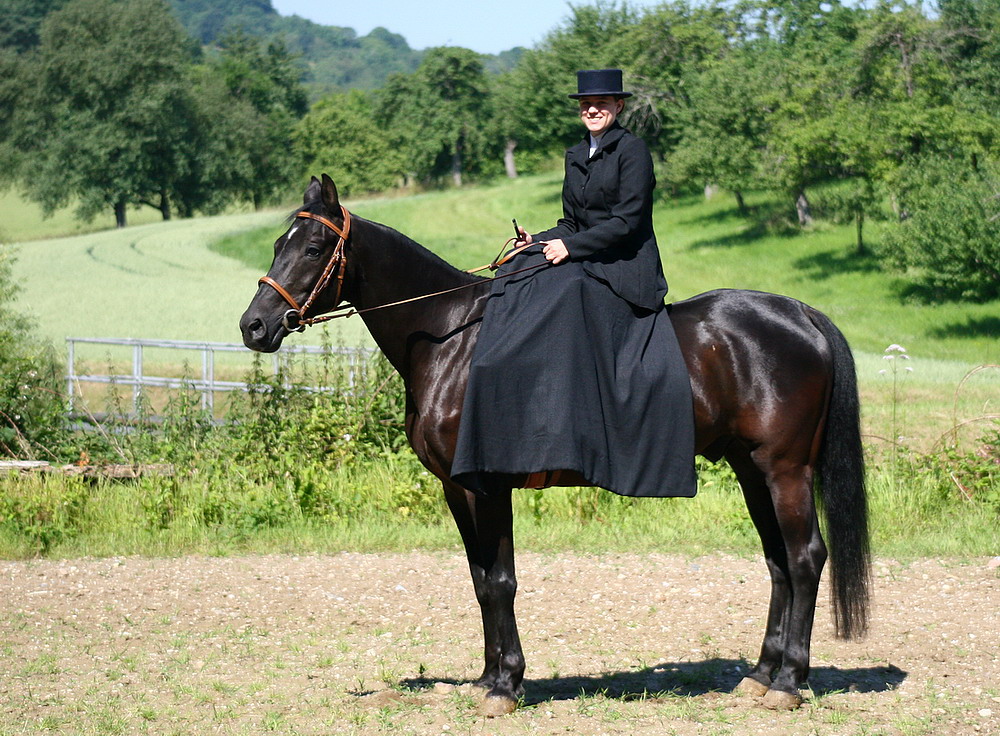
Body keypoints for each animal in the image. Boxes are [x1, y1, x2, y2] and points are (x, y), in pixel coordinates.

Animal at [240, 175, 868, 716]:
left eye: (314, 247)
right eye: (277, 244)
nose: (254, 326)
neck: (450, 337)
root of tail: (801, 314)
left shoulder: (488, 485)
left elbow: (500, 581)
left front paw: (506, 687)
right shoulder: (456, 490)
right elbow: (480, 581)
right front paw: (490, 678)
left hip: (785, 470)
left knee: (805, 557)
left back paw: (789, 682)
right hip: (750, 470)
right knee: (778, 562)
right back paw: (760, 676)